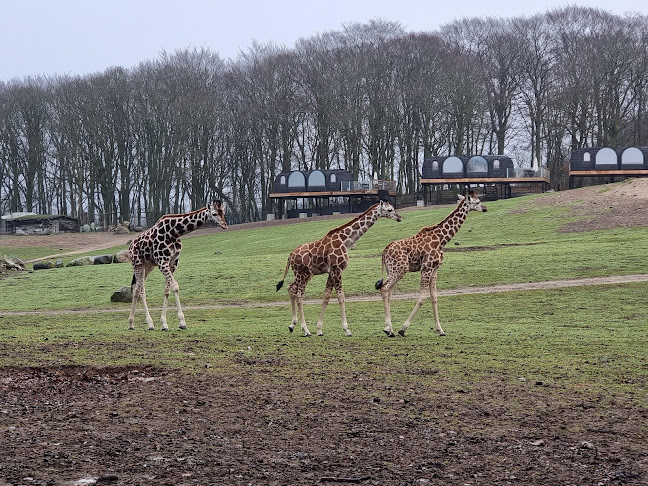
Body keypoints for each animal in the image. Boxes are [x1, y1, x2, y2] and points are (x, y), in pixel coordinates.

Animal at [127, 200, 228, 330]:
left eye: (223, 212)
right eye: (214, 213)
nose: (225, 225)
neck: (174, 232)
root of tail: (130, 246)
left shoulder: (173, 262)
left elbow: (167, 290)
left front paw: (164, 324)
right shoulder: (162, 262)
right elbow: (175, 286)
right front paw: (182, 322)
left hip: (148, 265)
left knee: (136, 288)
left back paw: (131, 323)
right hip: (138, 264)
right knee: (141, 289)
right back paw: (149, 324)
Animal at [278, 199, 402, 336]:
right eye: (390, 209)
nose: (399, 217)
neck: (345, 241)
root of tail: (290, 255)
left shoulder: (331, 271)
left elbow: (326, 296)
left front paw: (319, 329)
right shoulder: (337, 269)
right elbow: (341, 296)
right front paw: (347, 329)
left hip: (302, 274)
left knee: (290, 288)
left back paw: (292, 325)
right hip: (304, 274)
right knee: (299, 295)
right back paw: (305, 329)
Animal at [374, 191, 486, 338]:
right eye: (477, 202)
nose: (485, 208)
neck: (441, 240)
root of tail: (384, 251)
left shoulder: (435, 270)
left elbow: (434, 297)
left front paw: (440, 330)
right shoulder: (426, 268)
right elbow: (423, 297)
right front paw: (403, 328)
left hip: (391, 271)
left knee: (389, 291)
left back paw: (389, 329)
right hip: (399, 270)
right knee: (385, 288)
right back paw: (389, 329)